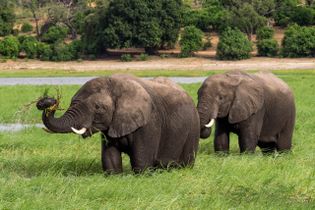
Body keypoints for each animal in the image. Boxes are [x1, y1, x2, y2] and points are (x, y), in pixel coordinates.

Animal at [36, 74, 200, 173]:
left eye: (98, 107)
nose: (48, 101)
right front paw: (114, 175)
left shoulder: (150, 122)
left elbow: (141, 161)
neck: (114, 82)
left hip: (193, 127)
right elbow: (110, 157)